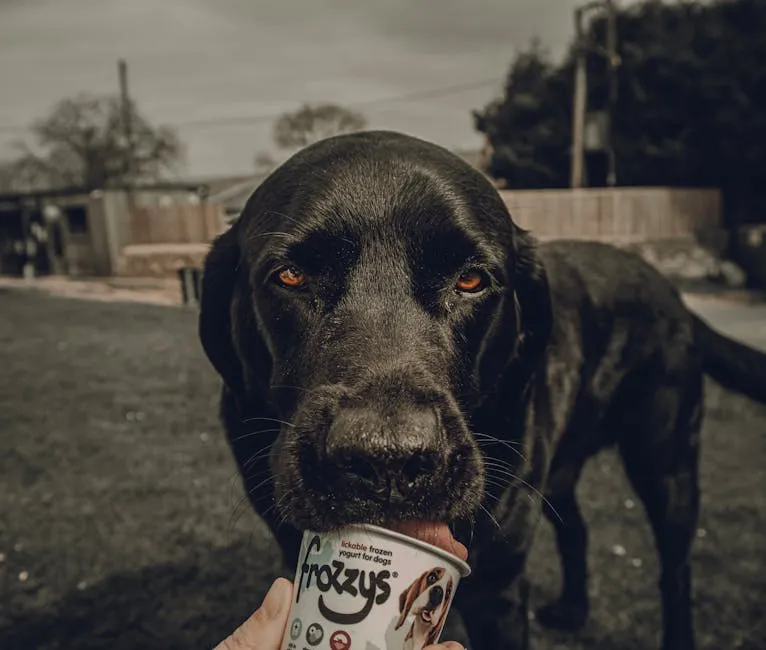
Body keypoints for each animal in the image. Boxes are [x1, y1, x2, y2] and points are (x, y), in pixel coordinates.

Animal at [198, 129, 766, 644]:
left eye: (471, 280)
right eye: (290, 276)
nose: (388, 460)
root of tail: (674, 293)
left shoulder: (498, 585)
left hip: (666, 463)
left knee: (676, 571)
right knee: (579, 530)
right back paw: (572, 612)